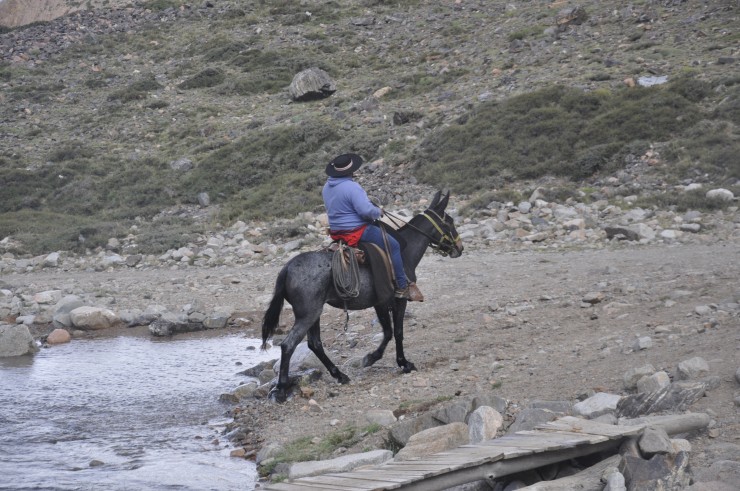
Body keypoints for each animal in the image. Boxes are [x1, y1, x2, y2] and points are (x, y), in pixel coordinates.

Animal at [260, 191, 462, 404]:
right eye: (449, 222)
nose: (459, 247)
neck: (404, 253)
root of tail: (287, 268)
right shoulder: (398, 300)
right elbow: (397, 331)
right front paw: (403, 363)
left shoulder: (380, 303)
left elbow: (388, 332)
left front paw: (372, 357)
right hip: (308, 315)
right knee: (288, 345)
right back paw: (281, 389)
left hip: (314, 314)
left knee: (314, 344)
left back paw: (339, 375)